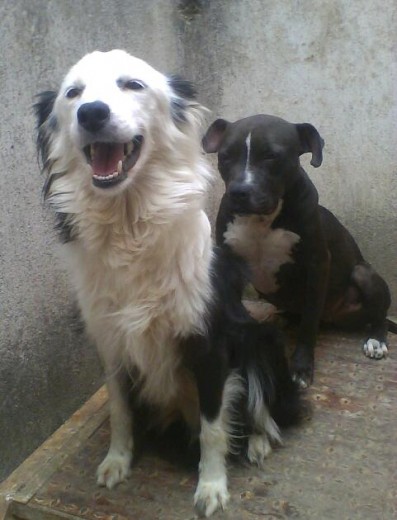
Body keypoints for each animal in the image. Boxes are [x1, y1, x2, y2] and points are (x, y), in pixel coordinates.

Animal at [35, 51, 300, 516]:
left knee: (264, 408)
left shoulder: (210, 342)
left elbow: (214, 425)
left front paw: (212, 486)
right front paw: (117, 461)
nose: (92, 113)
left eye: (132, 84)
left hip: (261, 337)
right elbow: (120, 410)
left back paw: (258, 442)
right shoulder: (110, 340)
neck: (128, 222)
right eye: (73, 93)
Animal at [204, 115, 392, 390]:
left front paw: (301, 368)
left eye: (271, 156)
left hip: (363, 275)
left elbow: (308, 325)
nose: (238, 192)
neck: (262, 220)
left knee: (378, 314)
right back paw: (282, 317)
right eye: (225, 156)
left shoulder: (317, 265)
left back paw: (376, 340)